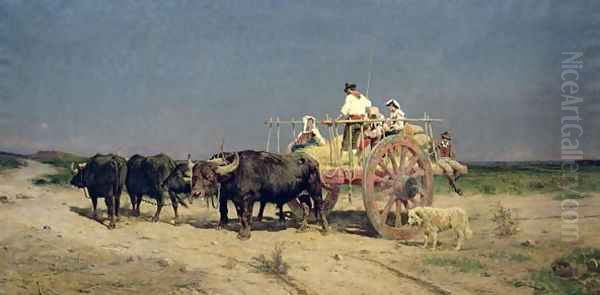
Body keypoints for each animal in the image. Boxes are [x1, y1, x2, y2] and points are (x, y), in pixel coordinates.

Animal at [192, 151, 328, 239]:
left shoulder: (248, 199)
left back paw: (325, 229)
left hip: (315, 189)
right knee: (306, 208)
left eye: (209, 176)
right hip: (302, 193)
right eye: (195, 176)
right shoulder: (237, 200)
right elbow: (240, 216)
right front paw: (241, 231)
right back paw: (302, 228)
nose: (196, 193)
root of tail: (313, 161)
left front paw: (245, 235)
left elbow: (246, 215)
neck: (235, 173)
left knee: (320, 207)